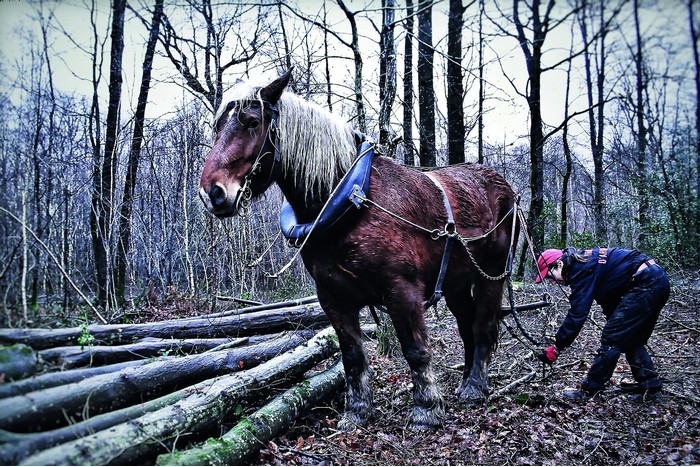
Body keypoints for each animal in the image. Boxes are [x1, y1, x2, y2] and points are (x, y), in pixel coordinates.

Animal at [200, 69, 516, 432]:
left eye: (252, 122)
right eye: (217, 126)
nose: (212, 193)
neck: (351, 201)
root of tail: (502, 184)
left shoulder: (402, 291)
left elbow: (416, 349)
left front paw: (426, 410)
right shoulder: (333, 298)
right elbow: (352, 356)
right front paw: (357, 411)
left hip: (492, 274)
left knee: (482, 326)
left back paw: (475, 386)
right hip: (455, 283)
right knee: (466, 327)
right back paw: (466, 380)